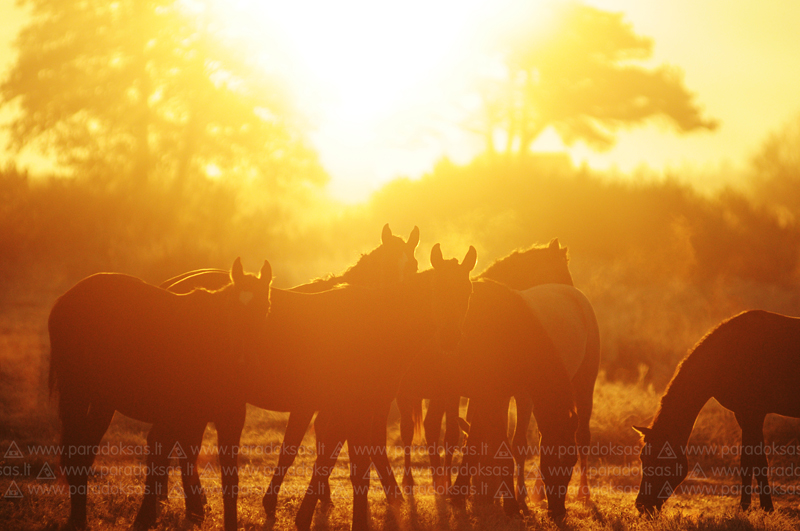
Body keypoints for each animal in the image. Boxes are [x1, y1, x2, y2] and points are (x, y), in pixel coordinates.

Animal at [47, 258, 272, 531]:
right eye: (231, 309)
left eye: (266, 307)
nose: (245, 362)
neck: (213, 344)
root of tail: (67, 298)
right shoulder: (176, 417)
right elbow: (161, 460)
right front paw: (146, 518)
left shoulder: (226, 419)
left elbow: (227, 479)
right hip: (77, 395)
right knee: (75, 456)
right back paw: (77, 519)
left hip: (103, 401)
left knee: (84, 453)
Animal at [636, 312, 800, 516]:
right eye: (642, 457)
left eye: (657, 460)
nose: (641, 505)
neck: (726, 355)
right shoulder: (744, 415)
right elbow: (750, 462)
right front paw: (750, 508)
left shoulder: (753, 414)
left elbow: (756, 463)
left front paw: (761, 508)